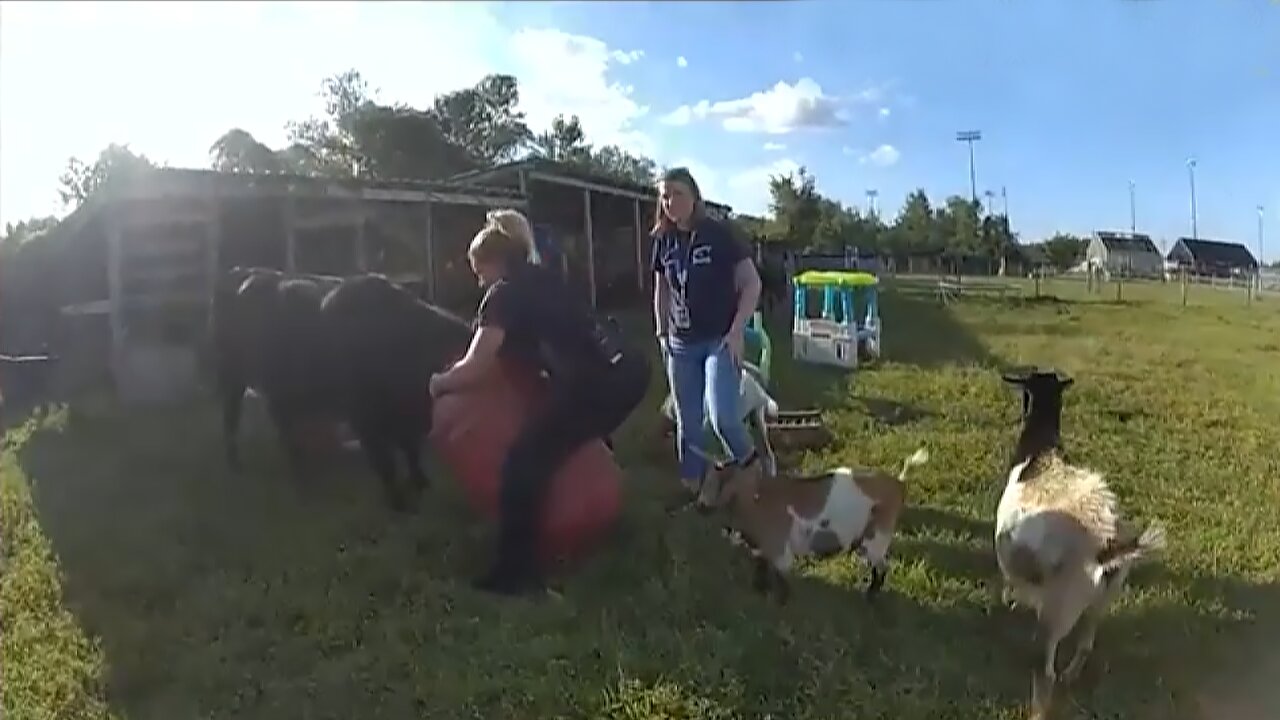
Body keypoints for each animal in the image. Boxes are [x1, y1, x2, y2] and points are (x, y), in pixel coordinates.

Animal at [696, 445, 926, 602]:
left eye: (723, 480)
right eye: (705, 478)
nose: (700, 505)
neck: (758, 498)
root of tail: (899, 483)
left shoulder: (780, 549)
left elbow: (782, 578)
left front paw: (781, 602)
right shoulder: (762, 548)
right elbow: (761, 567)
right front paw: (760, 590)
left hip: (878, 536)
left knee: (883, 566)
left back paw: (870, 596)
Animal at [998, 368, 1172, 717]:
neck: (1038, 453)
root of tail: (1106, 547)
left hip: (1059, 608)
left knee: (1045, 671)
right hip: (1102, 599)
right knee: (1086, 644)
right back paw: (1070, 676)